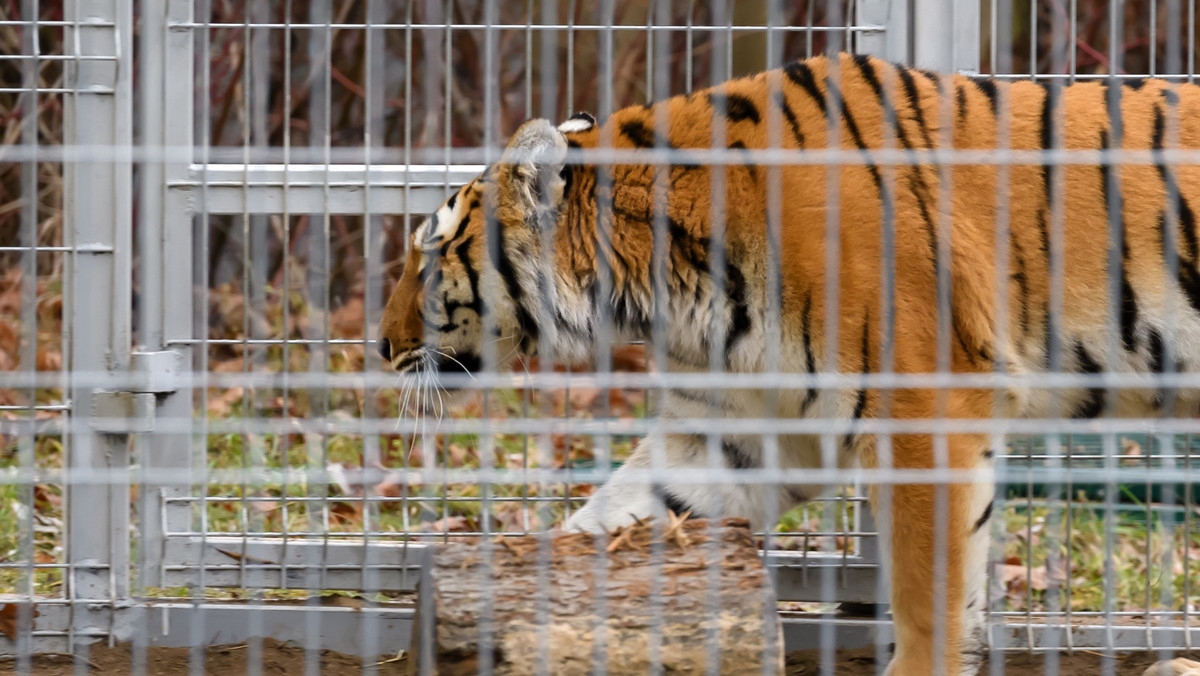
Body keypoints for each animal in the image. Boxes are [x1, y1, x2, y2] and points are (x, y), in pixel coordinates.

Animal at [379, 52, 1200, 676]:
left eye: (428, 258)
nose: (381, 349)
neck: (671, 284)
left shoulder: (922, 417)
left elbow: (929, 596)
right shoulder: (737, 427)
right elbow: (616, 515)